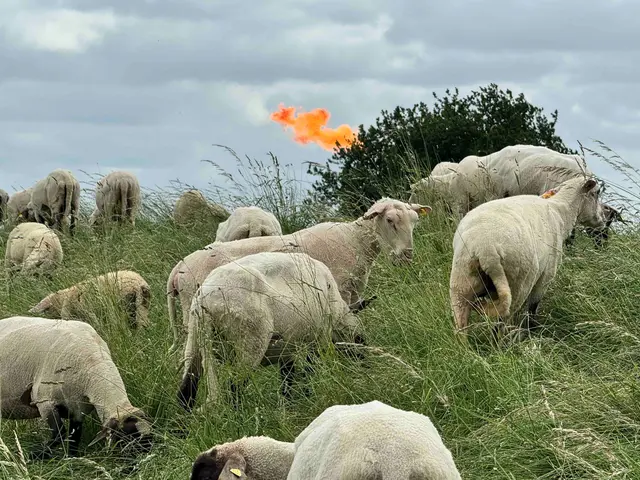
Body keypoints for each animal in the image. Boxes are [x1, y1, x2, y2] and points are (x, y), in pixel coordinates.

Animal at [0, 316, 152, 459]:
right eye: (126, 439)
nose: (141, 465)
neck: (93, 365)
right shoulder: (44, 401)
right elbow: (59, 434)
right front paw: (31, 456)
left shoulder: (78, 410)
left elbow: (74, 439)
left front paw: (71, 459)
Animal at [167, 198, 431, 352]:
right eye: (390, 220)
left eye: (415, 222)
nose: (406, 257)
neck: (355, 241)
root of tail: (177, 269)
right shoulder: (338, 291)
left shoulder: (354, 292)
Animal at [177, 252, 366, 410]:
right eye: (360, 339)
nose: (365, 364)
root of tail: (206, 301)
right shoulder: (319, 339)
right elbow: (309, 371)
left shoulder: (288, 348)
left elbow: (287, 377)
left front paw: (288, 406)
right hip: (251, 341)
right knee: (234, 387)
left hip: (194, 341)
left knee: (186, 392)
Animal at [449, 176, 605, 336]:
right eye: (595, 194)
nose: (603, 219)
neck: (561, 212)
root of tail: (486, 250)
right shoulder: (546, 276)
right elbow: (532, 309)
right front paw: (533, 331)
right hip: (519, 283)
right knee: (502, 321)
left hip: (461, 282)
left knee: (461, 325)